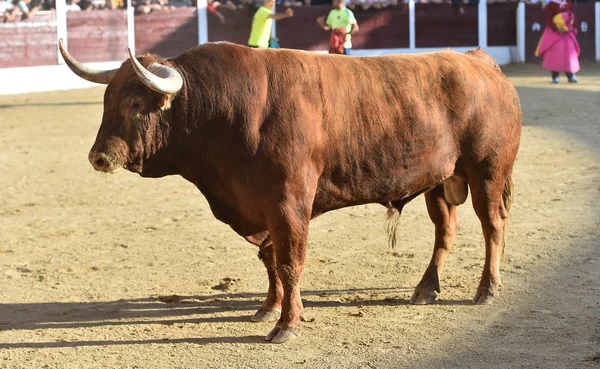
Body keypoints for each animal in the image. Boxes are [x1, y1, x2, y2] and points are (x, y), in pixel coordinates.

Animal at [58, 41, 524, 344]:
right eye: (106, 100)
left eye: (136, 104)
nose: (99, 157)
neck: (226, 110)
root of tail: (479, 61)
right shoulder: (261, 208)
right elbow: (270, 261)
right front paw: (267, 308)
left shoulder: (289, 204)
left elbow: (289, 263)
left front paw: (286, 325)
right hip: (440, 182)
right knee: (446, 231)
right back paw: (426, 289)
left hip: (486, 171)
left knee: (492, 225)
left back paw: (487, 289)